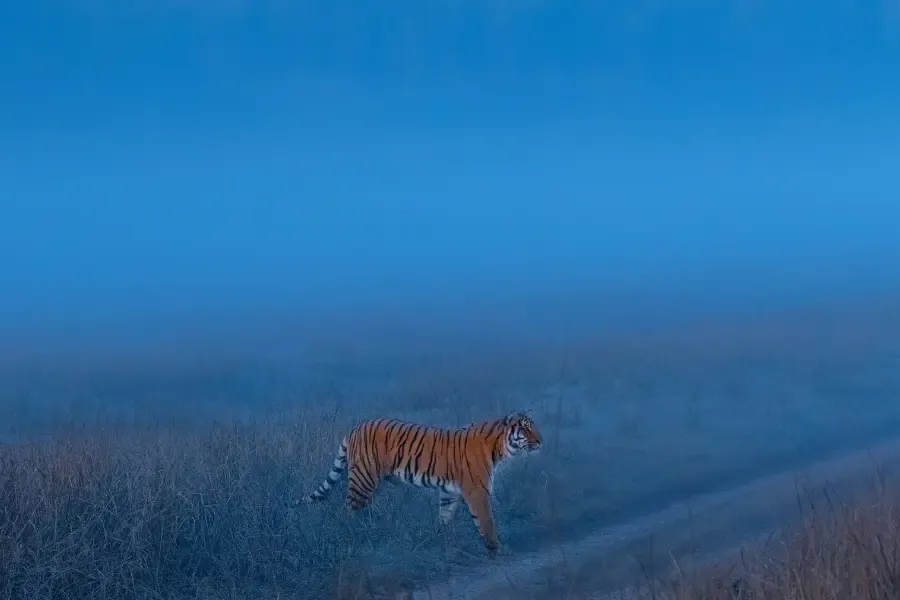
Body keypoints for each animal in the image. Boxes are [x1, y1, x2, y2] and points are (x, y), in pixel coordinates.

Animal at [298, 410, 542, 554]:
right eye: (526, 428)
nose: (541, 441)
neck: (498, 447)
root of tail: (355, 428)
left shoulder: (449, 493)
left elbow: (445, 517)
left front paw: (442, 541)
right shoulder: (477, 492)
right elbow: (486, 521)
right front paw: (497, 547)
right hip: (363, 480)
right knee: (347, 511)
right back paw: (350, 536)